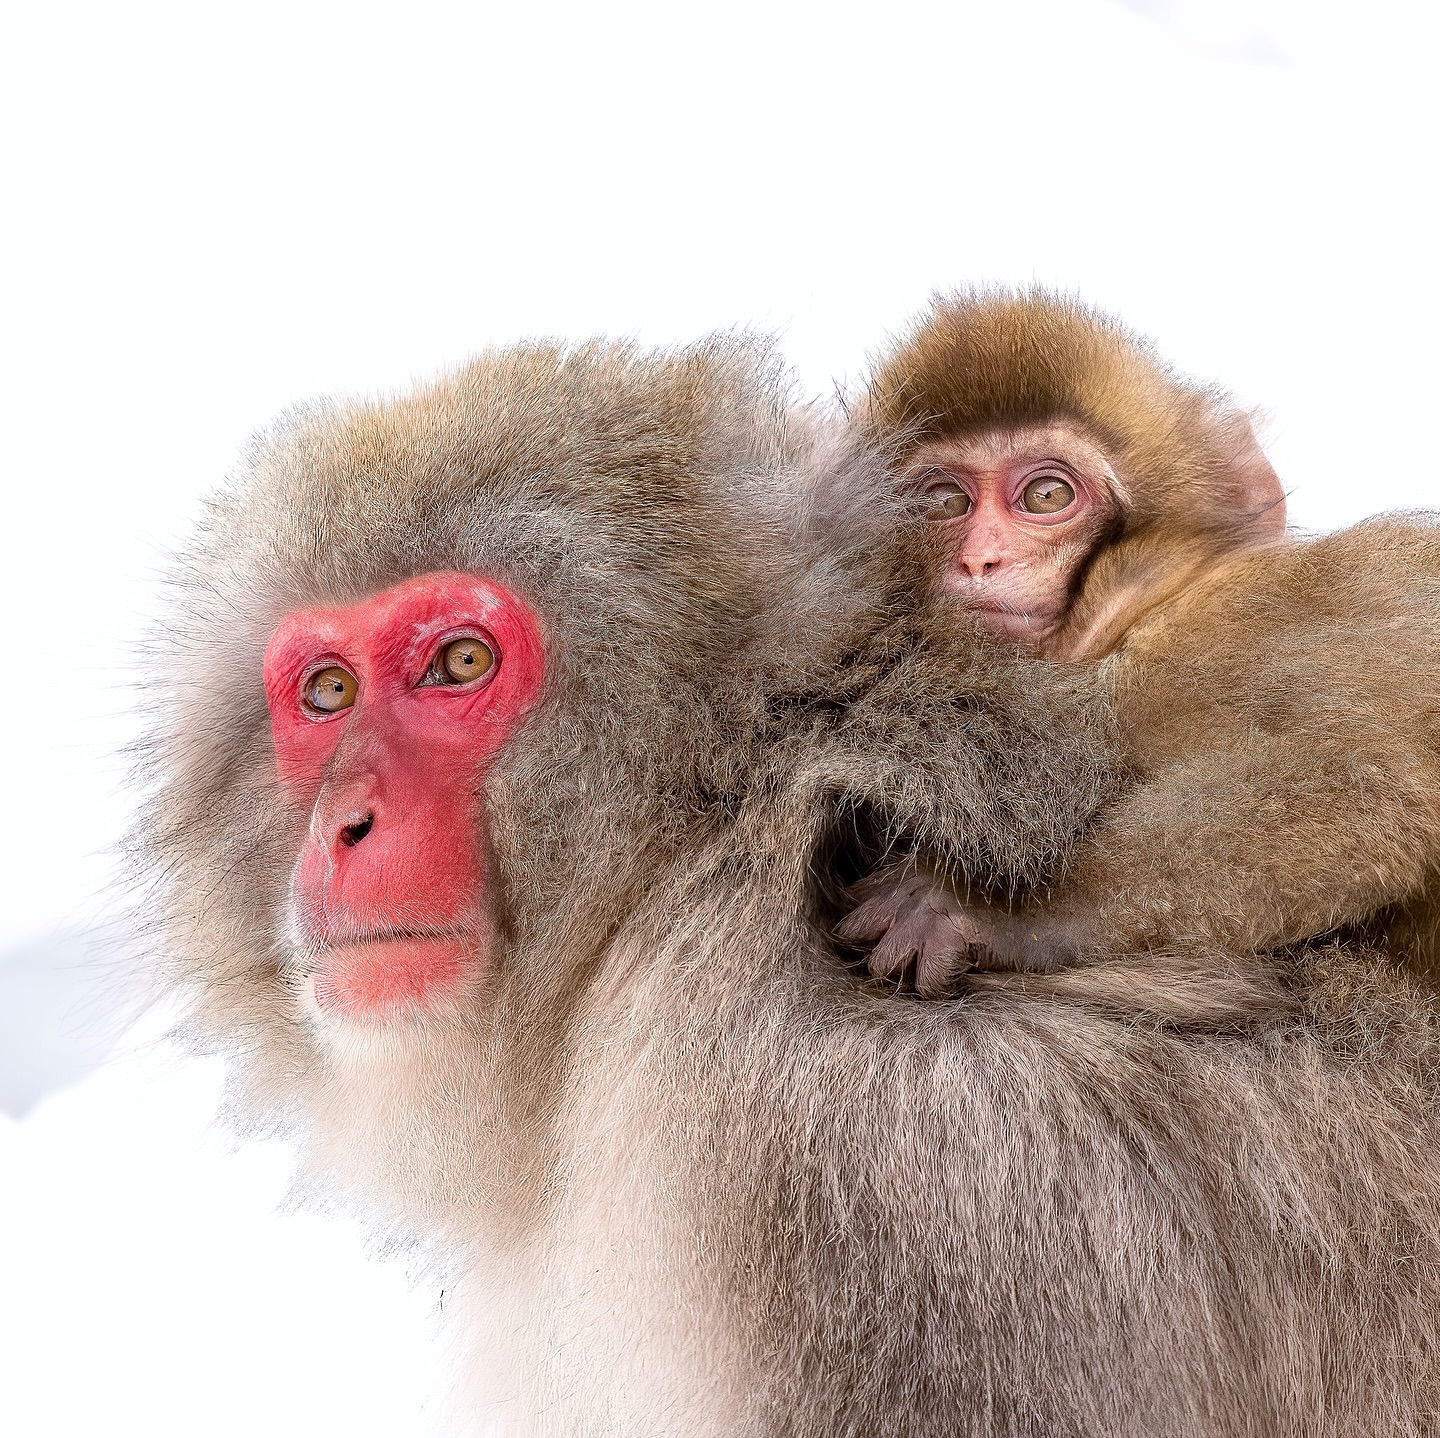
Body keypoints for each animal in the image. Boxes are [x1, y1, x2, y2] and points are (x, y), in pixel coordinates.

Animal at [836, 290, 1440, 995]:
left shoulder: (1236, 628)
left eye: (1047, 494)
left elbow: (1369, 771)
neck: (1141, 610)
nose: (980, 558)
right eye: (942, 502)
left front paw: (986, 910)